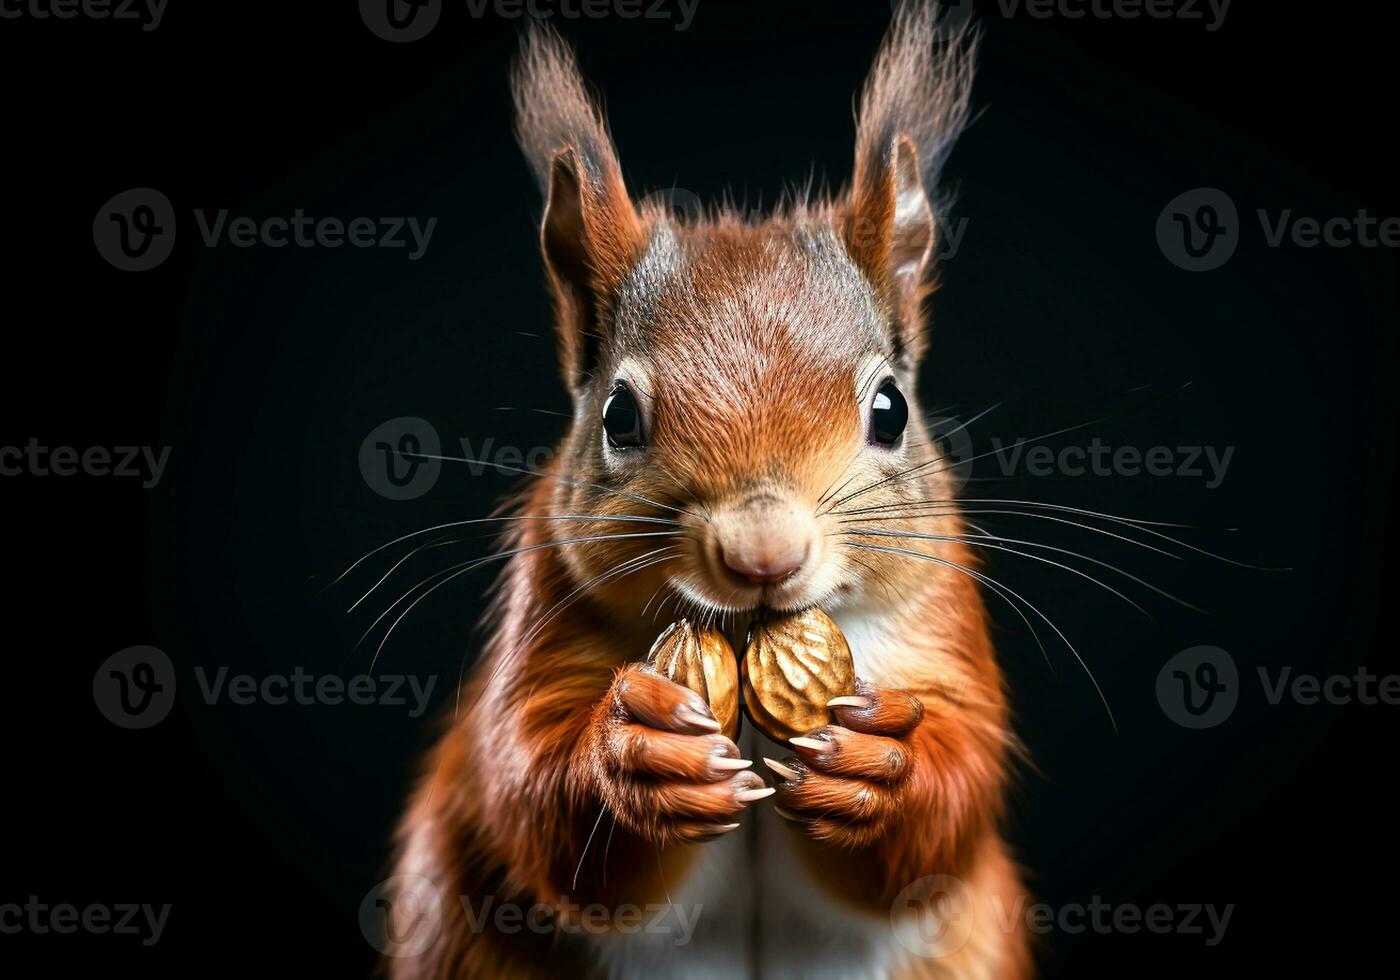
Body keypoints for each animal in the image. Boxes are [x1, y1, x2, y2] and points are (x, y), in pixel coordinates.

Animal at [389, 3, 1036, 974]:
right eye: (618, 415)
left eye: (890, 409)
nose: (764, 552)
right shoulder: (547, 611)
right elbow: (533, 793)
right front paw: (634, 757)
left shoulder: (942, 623)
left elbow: (952, 802)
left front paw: (884, 767)